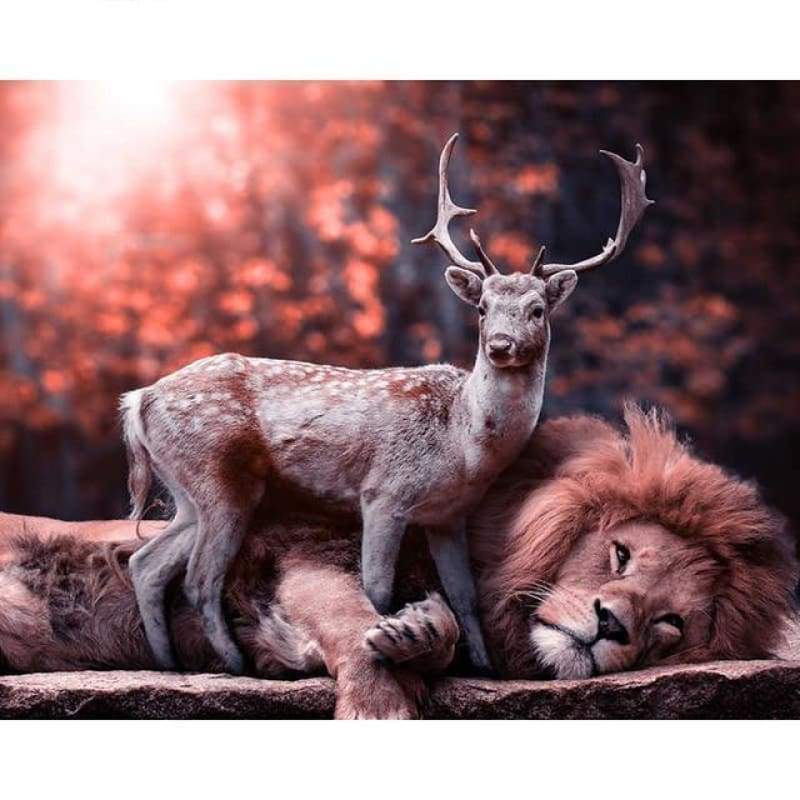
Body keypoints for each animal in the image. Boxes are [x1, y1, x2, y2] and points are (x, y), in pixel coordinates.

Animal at [0, 406, 797, 717]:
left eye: (669, 625)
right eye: (620, 553)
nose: (611, 627)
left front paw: (420, 630)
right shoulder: (306, 552)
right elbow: (354, 626)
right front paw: (380, 704)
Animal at [121, 133, 653, 676]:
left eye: (538, 309)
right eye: (483, 308)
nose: (500, 345)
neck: (463, 446)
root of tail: (139, 400)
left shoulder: (448, 515)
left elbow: (465, 596)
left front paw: (483, 666)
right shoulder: (383, 492)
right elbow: (377, 588)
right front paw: (388, 647)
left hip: (188, 490)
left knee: (146, 563)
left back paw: (168, 661)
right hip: (219, 476)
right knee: (198, 578)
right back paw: (235, 662)